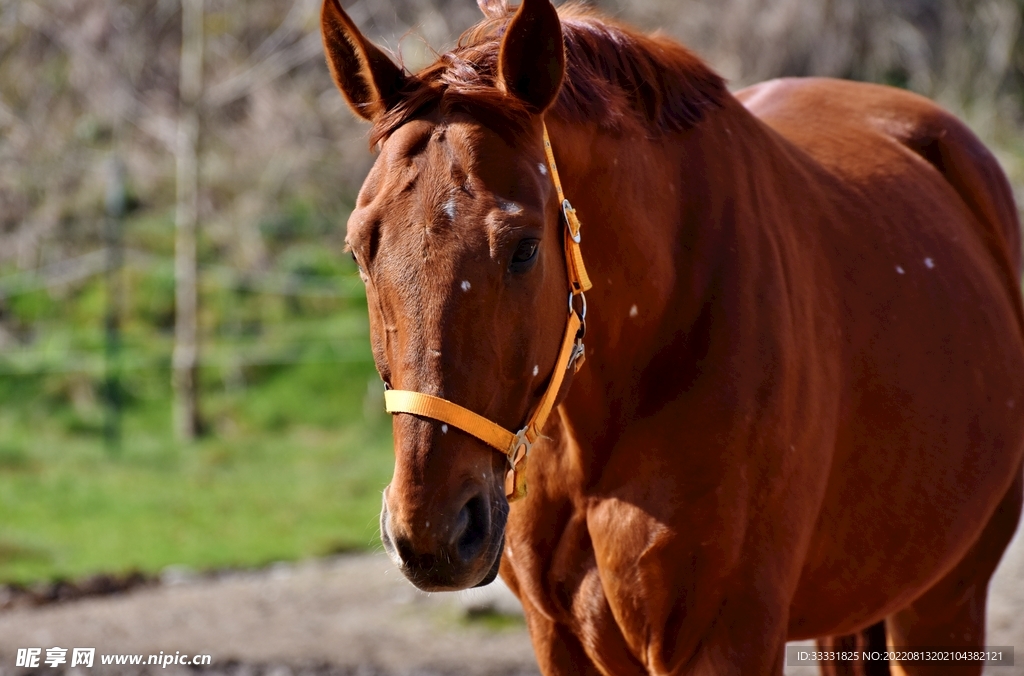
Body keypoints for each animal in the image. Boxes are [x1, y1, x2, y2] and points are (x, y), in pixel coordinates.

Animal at [319, 0, 1024, 673]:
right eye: (359, 250)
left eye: (523, 248)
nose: (433, 532)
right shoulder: (559, 639)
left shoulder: (726, 639)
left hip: (943, 603)